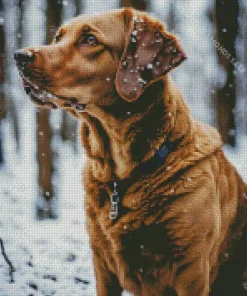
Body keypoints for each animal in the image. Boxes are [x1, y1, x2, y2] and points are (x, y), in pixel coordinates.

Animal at [14, 8, 247, 294]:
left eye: (90, 39)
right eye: (58, 37)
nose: (19, 56)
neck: (122, 174)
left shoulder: (191, 270)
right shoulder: (102, 263)